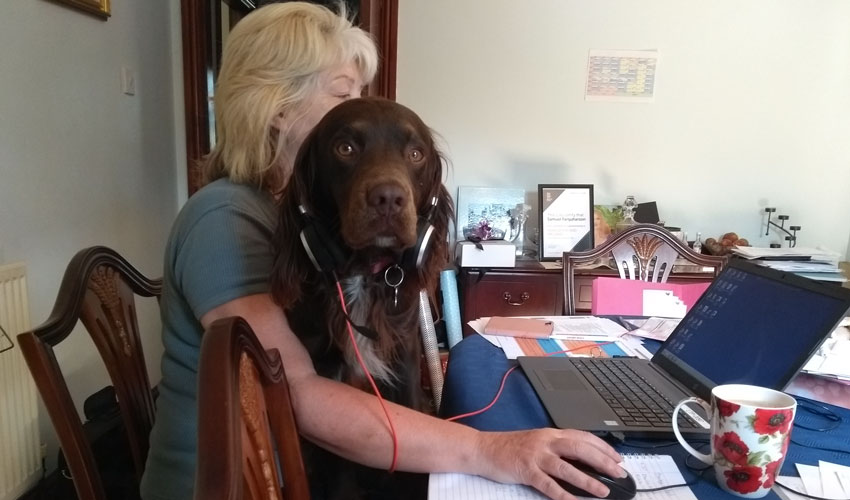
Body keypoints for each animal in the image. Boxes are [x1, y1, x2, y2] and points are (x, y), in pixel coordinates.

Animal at [272, 96, 454, 500]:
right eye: (346, 148)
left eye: (415, 153)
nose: (388, 199)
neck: (361, 272)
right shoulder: (327, 373)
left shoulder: (405, 361)